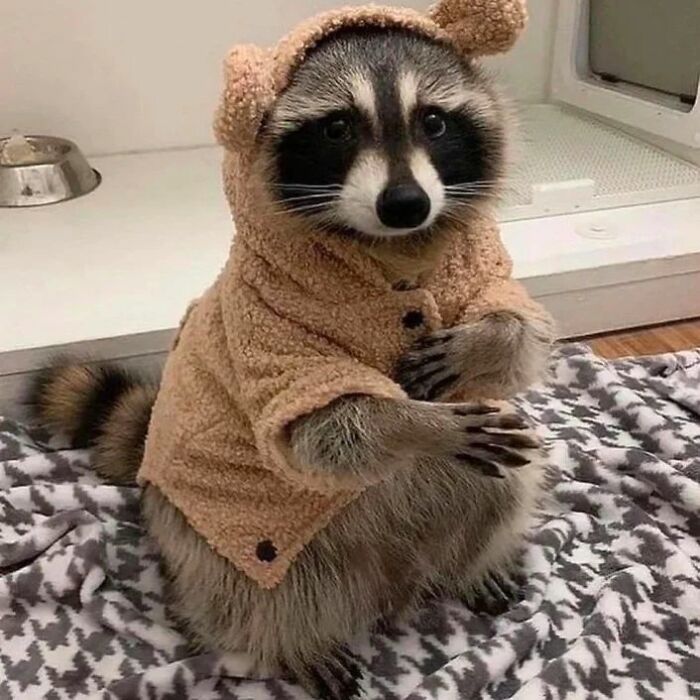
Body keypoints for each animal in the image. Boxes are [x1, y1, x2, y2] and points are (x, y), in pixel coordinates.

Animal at [28, 27, 552, 700]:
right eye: (338, 128)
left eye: (433, 122)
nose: (406, 203)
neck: (390, 248)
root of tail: (394, 575)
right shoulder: (269, 334)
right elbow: (322, 433)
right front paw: (416, 425)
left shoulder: (478, 266)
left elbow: (519, 330)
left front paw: (486, 342)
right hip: (214, 537)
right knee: (246, 593)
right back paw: (290, 642)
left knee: (505, 488)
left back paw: (472, 563)